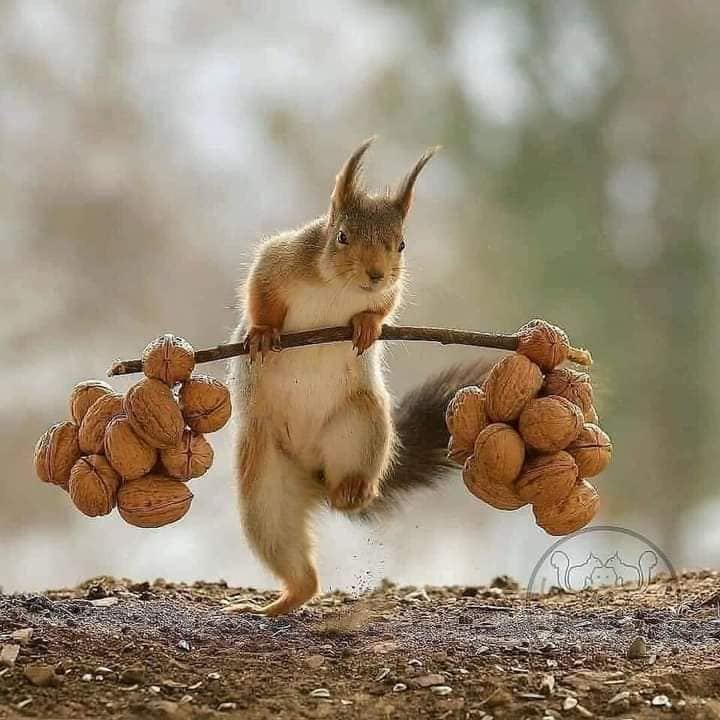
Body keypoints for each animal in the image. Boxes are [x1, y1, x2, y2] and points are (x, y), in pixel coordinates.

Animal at [225, 138, 490, 616]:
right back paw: (277, 603)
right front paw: (263, 333)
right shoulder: (279, 259)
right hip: (265, 485)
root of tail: (315, 477)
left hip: (363, 426)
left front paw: (366, 324)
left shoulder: (390, 290)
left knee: (356, 483)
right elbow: (259, 293)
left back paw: (353, 491)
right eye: (342, 236)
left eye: (401, 244)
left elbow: (385, 306)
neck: (339, 286)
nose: (375, 274)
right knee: (289, 555)